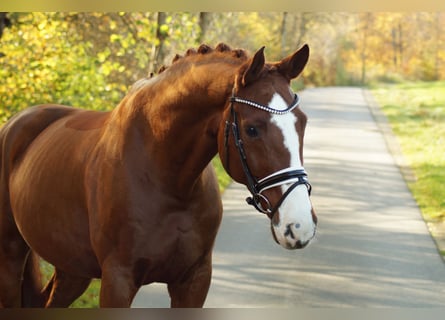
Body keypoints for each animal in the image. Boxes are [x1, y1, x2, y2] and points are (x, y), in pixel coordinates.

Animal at [0, 43, 316, 308]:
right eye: (252, 129)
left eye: (302, 122)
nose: (298, 225)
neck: (168, 182)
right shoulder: (118, 281)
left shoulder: (194, 281)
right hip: (11, 257)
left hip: (72, 268)